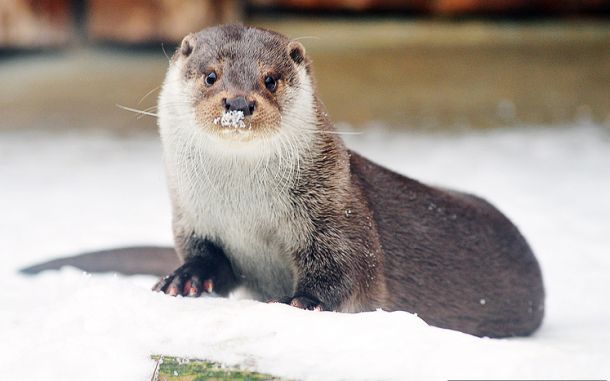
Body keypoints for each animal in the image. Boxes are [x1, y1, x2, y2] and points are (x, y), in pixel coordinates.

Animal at [21, 25, 540, 336]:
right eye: (211, 76)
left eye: (270, 79)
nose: (238, 102)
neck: (247, 212)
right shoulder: (192, 218)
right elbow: (208, 257)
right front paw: (185, 278)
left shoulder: (338, 211)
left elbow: (350, 275)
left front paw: (301, 302)